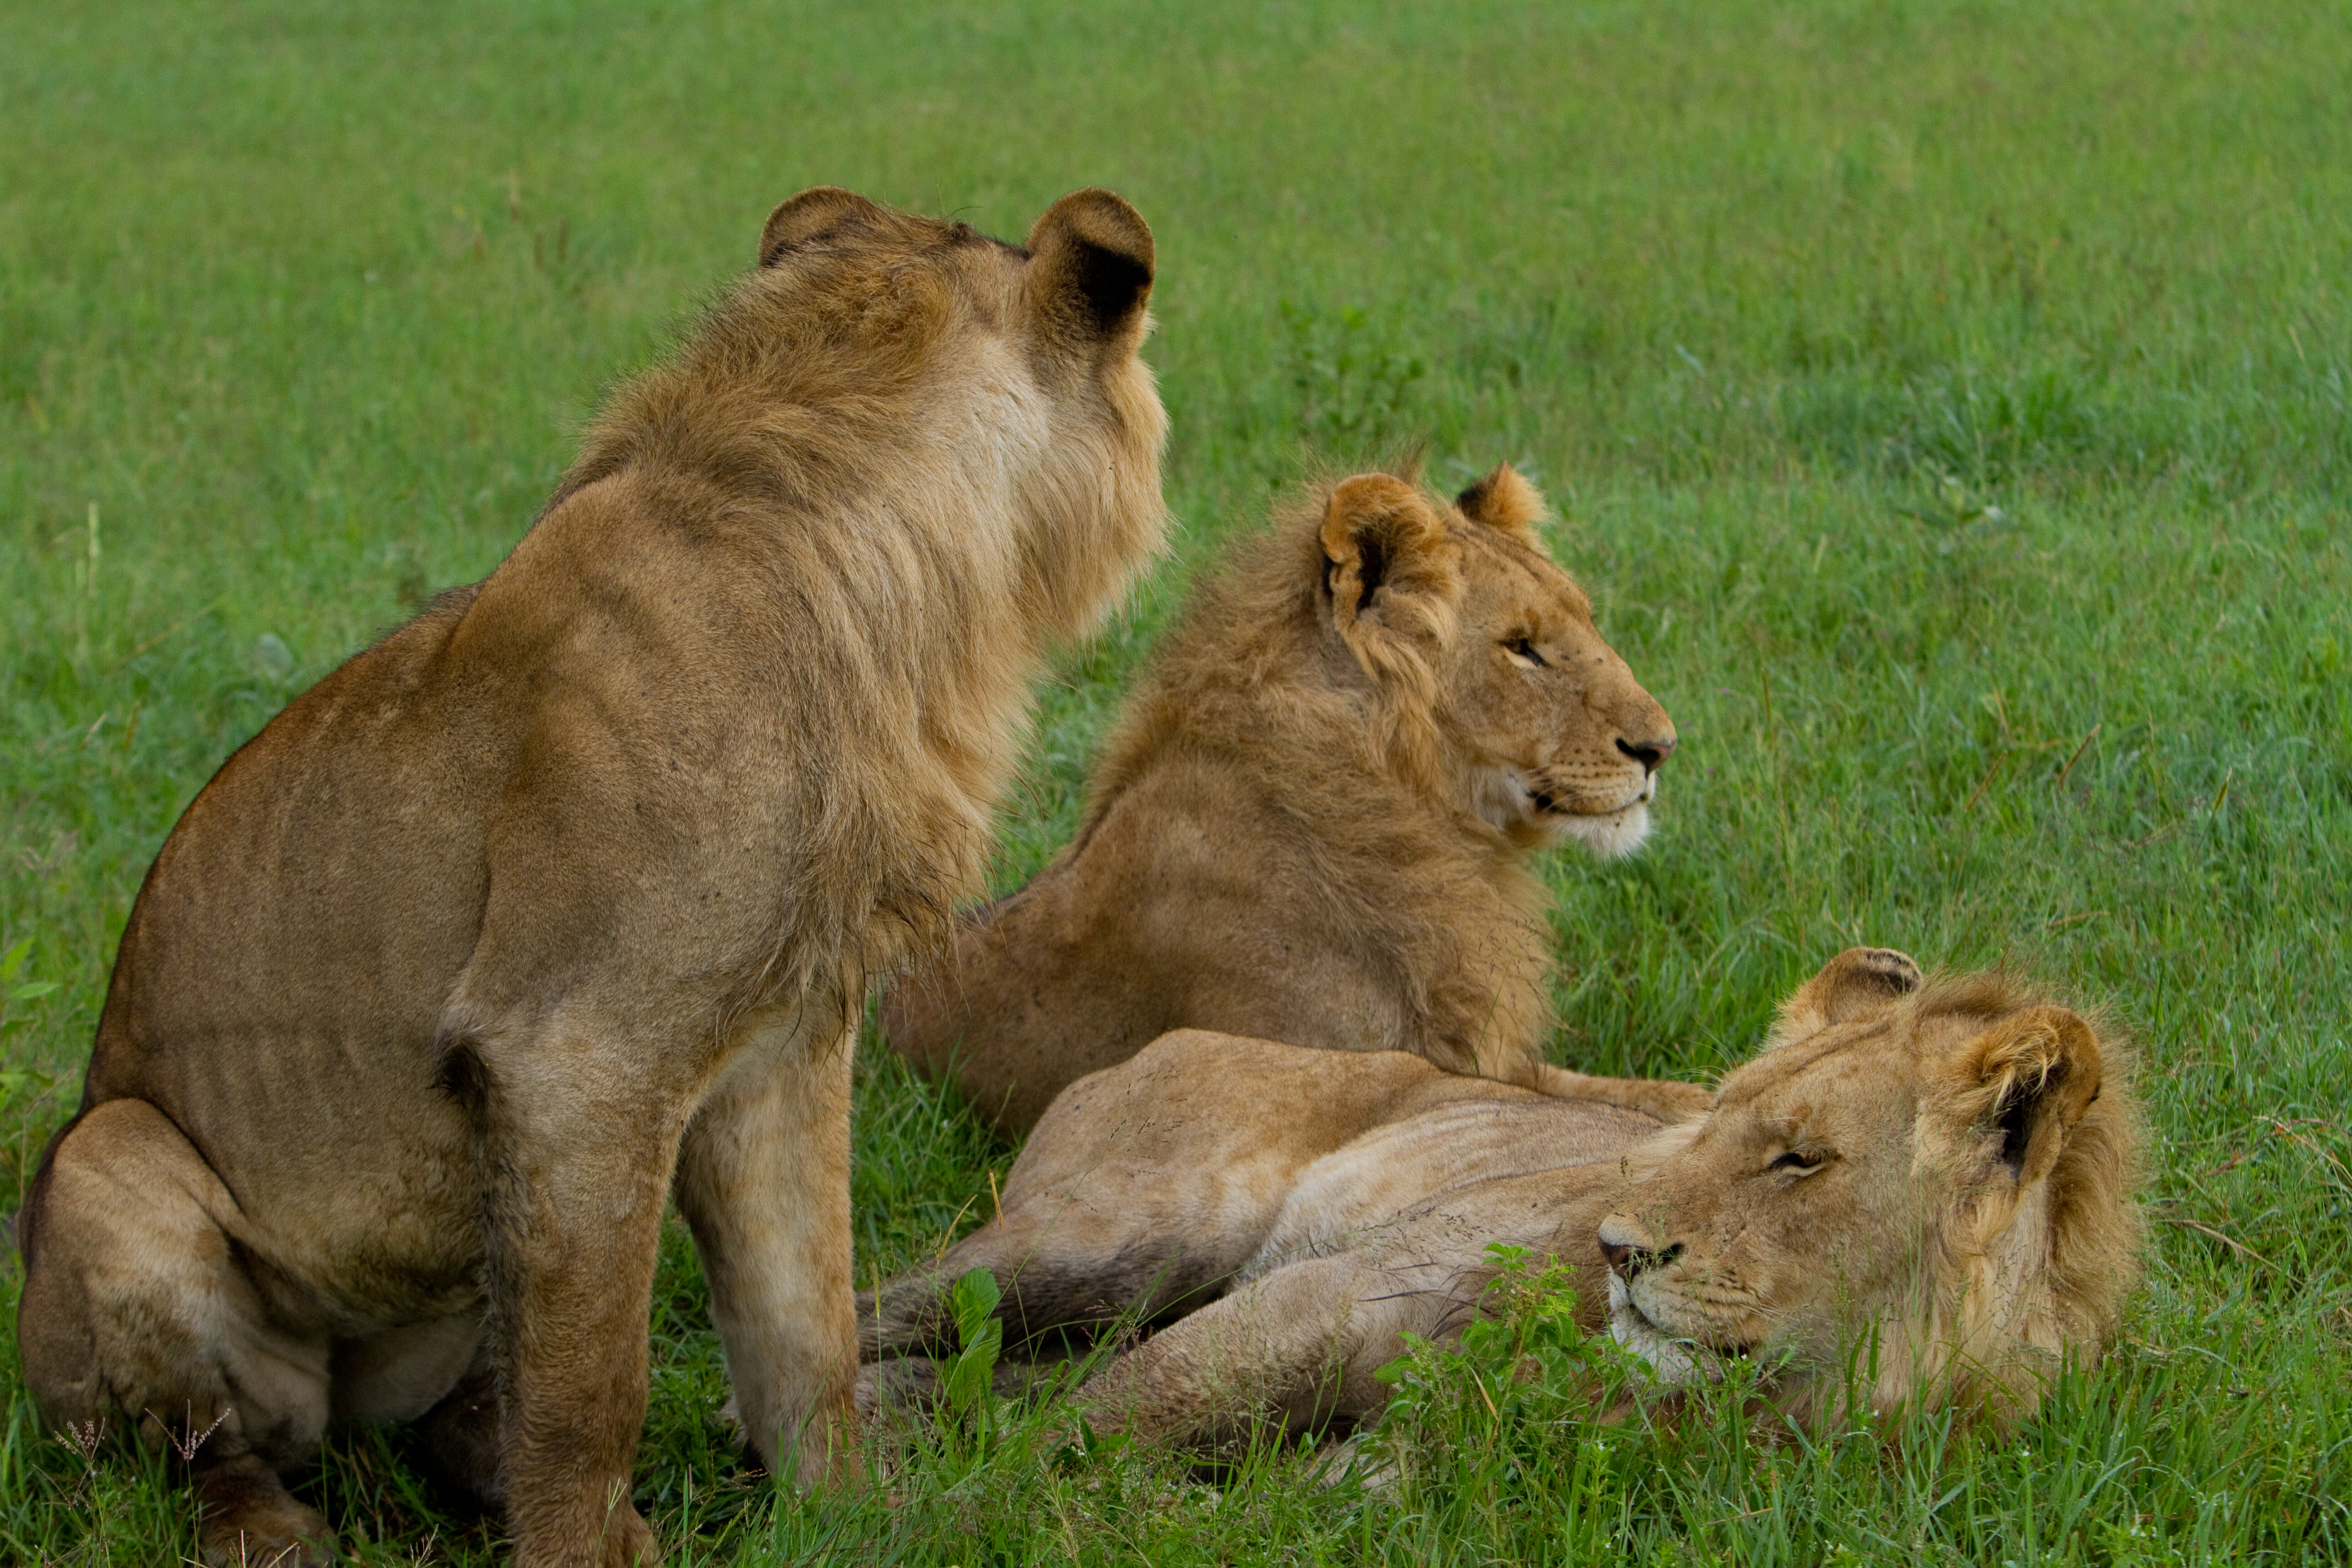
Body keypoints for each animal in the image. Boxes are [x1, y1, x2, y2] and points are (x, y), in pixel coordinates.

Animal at [14, 186, 1168, 1567]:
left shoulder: (788, 1037)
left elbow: (805, 1320)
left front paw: (849, 1519)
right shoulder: (576, 1055)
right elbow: (593, 1378)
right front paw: (587, 1545)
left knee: (453, 1409)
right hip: (112, 1162)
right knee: (193, 1449)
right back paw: (268, 1528)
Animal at [862, 948, 2143, 1447]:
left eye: (1799, 1159)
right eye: (1710, 1119)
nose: (1619, 1249)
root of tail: (1149, 1041)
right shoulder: (1349, 1283)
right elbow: (1079, 1443)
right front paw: (933, 1520)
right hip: (1115, 1240)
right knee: (876, 1315)